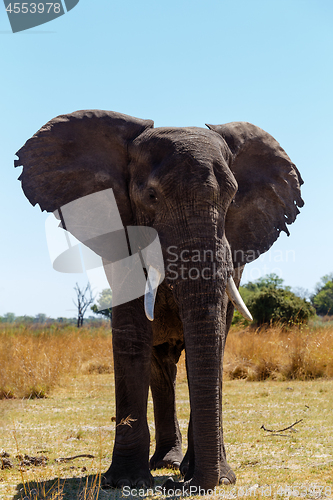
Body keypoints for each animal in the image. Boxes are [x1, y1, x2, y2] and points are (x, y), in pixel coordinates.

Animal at [15, 110, 302, 492]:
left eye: (232, 197)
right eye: (151, 195)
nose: (177, 486)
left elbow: (215, 339)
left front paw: (214, 477)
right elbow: (133, 336)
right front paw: (125, 481)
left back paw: (173, 464)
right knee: (159, 365)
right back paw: (165, 463)